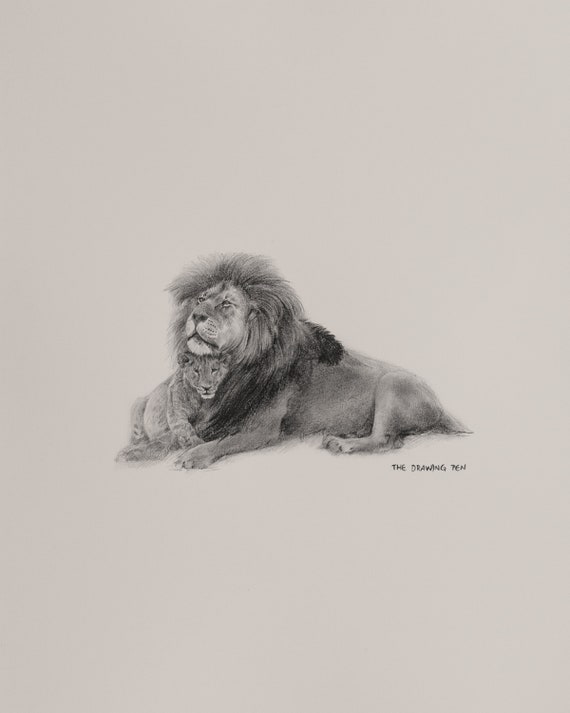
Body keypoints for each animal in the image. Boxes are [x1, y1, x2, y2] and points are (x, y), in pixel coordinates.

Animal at [162, 253, 469, 470]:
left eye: (226, 304)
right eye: (200, 299)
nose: (196, 315)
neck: (235, 367)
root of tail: (441, 408)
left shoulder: (263, 430)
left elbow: (222, 442)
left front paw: (194, 455)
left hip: (393, 384)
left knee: (383, 439)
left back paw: (342, 445)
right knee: (394, 441)